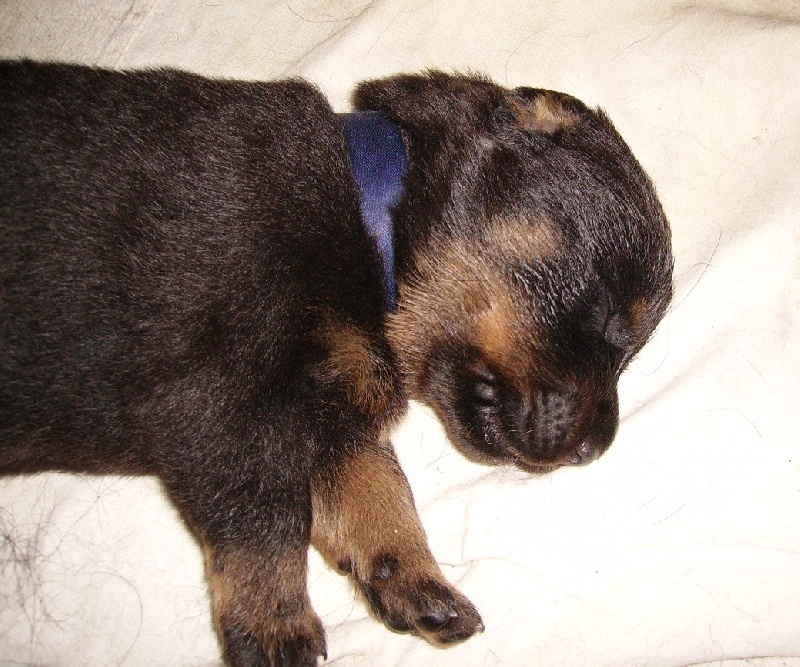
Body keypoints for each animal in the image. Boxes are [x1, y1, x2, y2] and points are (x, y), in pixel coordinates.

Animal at [0, 61, 673, 666]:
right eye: (615, 319)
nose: (594, 450)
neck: (374, 230)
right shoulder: (219, 397)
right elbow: (267, 520)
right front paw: (275, 629)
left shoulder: (326, 410)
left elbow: (375, 489)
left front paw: (415, 581)